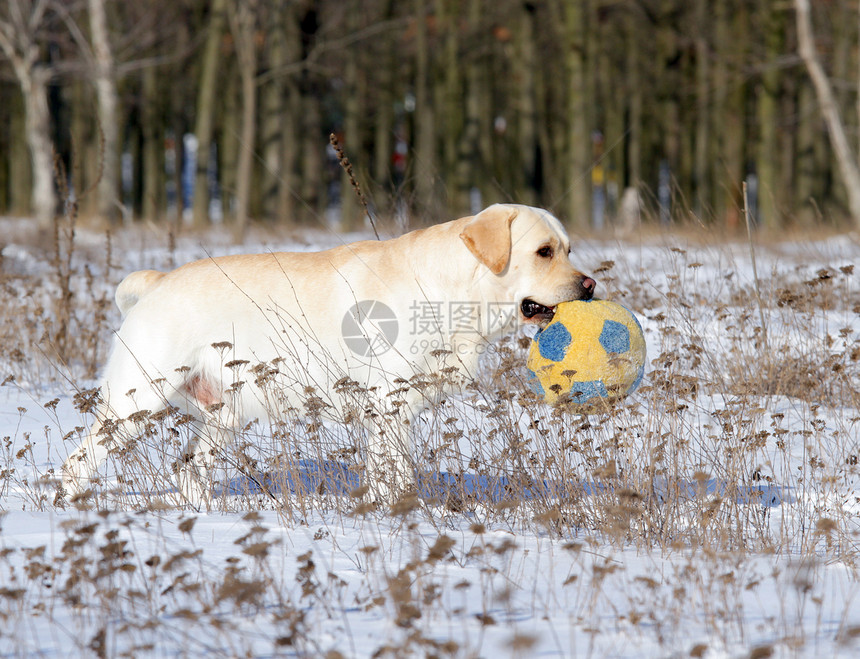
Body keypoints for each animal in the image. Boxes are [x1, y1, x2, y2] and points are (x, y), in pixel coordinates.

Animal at [63, 205, 596, 506]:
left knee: (190, 473)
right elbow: (394, 472)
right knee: (76, 463)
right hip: (135, 402)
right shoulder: (387, 403)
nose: (590, 285)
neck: (455, 293)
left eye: (569, 248)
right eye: (544, 251)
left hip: (224, 416)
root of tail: (157, 280)